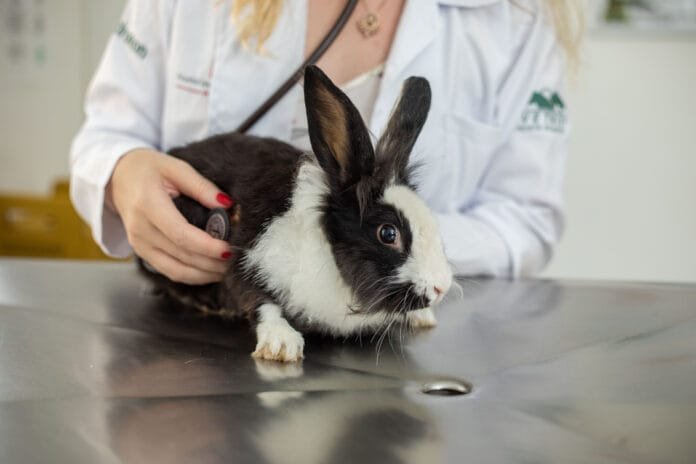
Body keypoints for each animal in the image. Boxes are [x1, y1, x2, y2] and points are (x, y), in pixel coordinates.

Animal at [139, 65, 453, 362]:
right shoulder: (246, 259)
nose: (441, 288)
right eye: (388, 233)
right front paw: (281, 344)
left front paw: (421, 317)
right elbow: (261, 302)